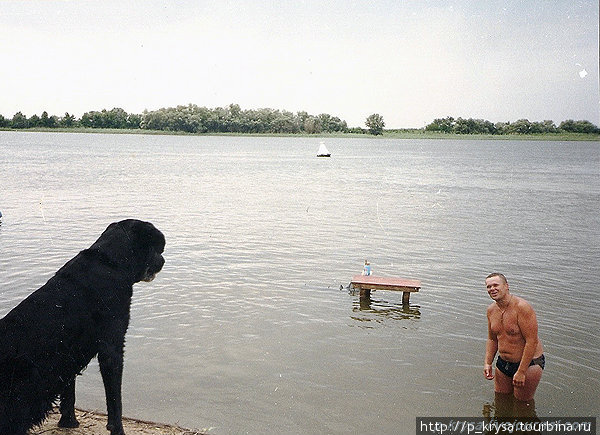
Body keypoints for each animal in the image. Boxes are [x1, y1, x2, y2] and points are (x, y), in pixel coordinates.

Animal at [0, 221, 165, 435]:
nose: (163, 260)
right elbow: (115, 400)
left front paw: (68, 422)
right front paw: (117, 429)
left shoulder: (68, 355)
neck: (109, 263)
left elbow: (69, 392)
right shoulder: (111, 347)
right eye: (156, 248)